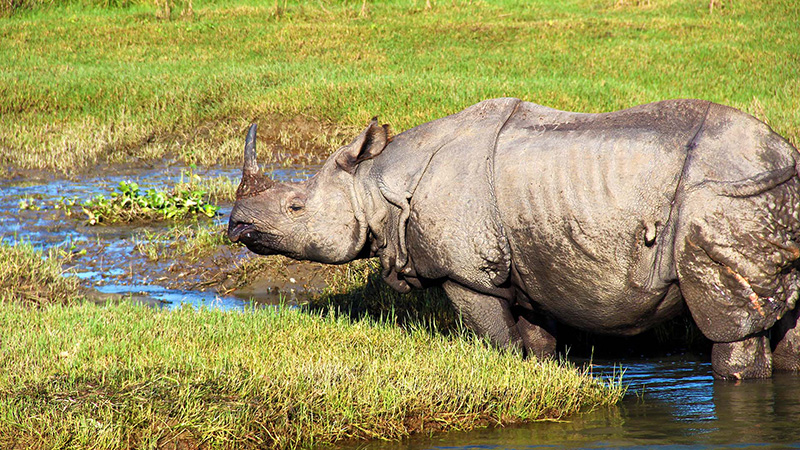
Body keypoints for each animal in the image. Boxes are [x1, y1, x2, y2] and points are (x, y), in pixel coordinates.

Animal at [228, 98, 800, 380]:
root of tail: (782, 154)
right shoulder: (530, 264)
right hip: (767, 195)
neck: (375, 183)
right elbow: (538, 342)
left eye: (295, 207)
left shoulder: (466, 274)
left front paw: (506, 372)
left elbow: (500, 342)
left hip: (725, 194)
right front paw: (543, 375)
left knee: (730, 321)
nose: (236, 227)